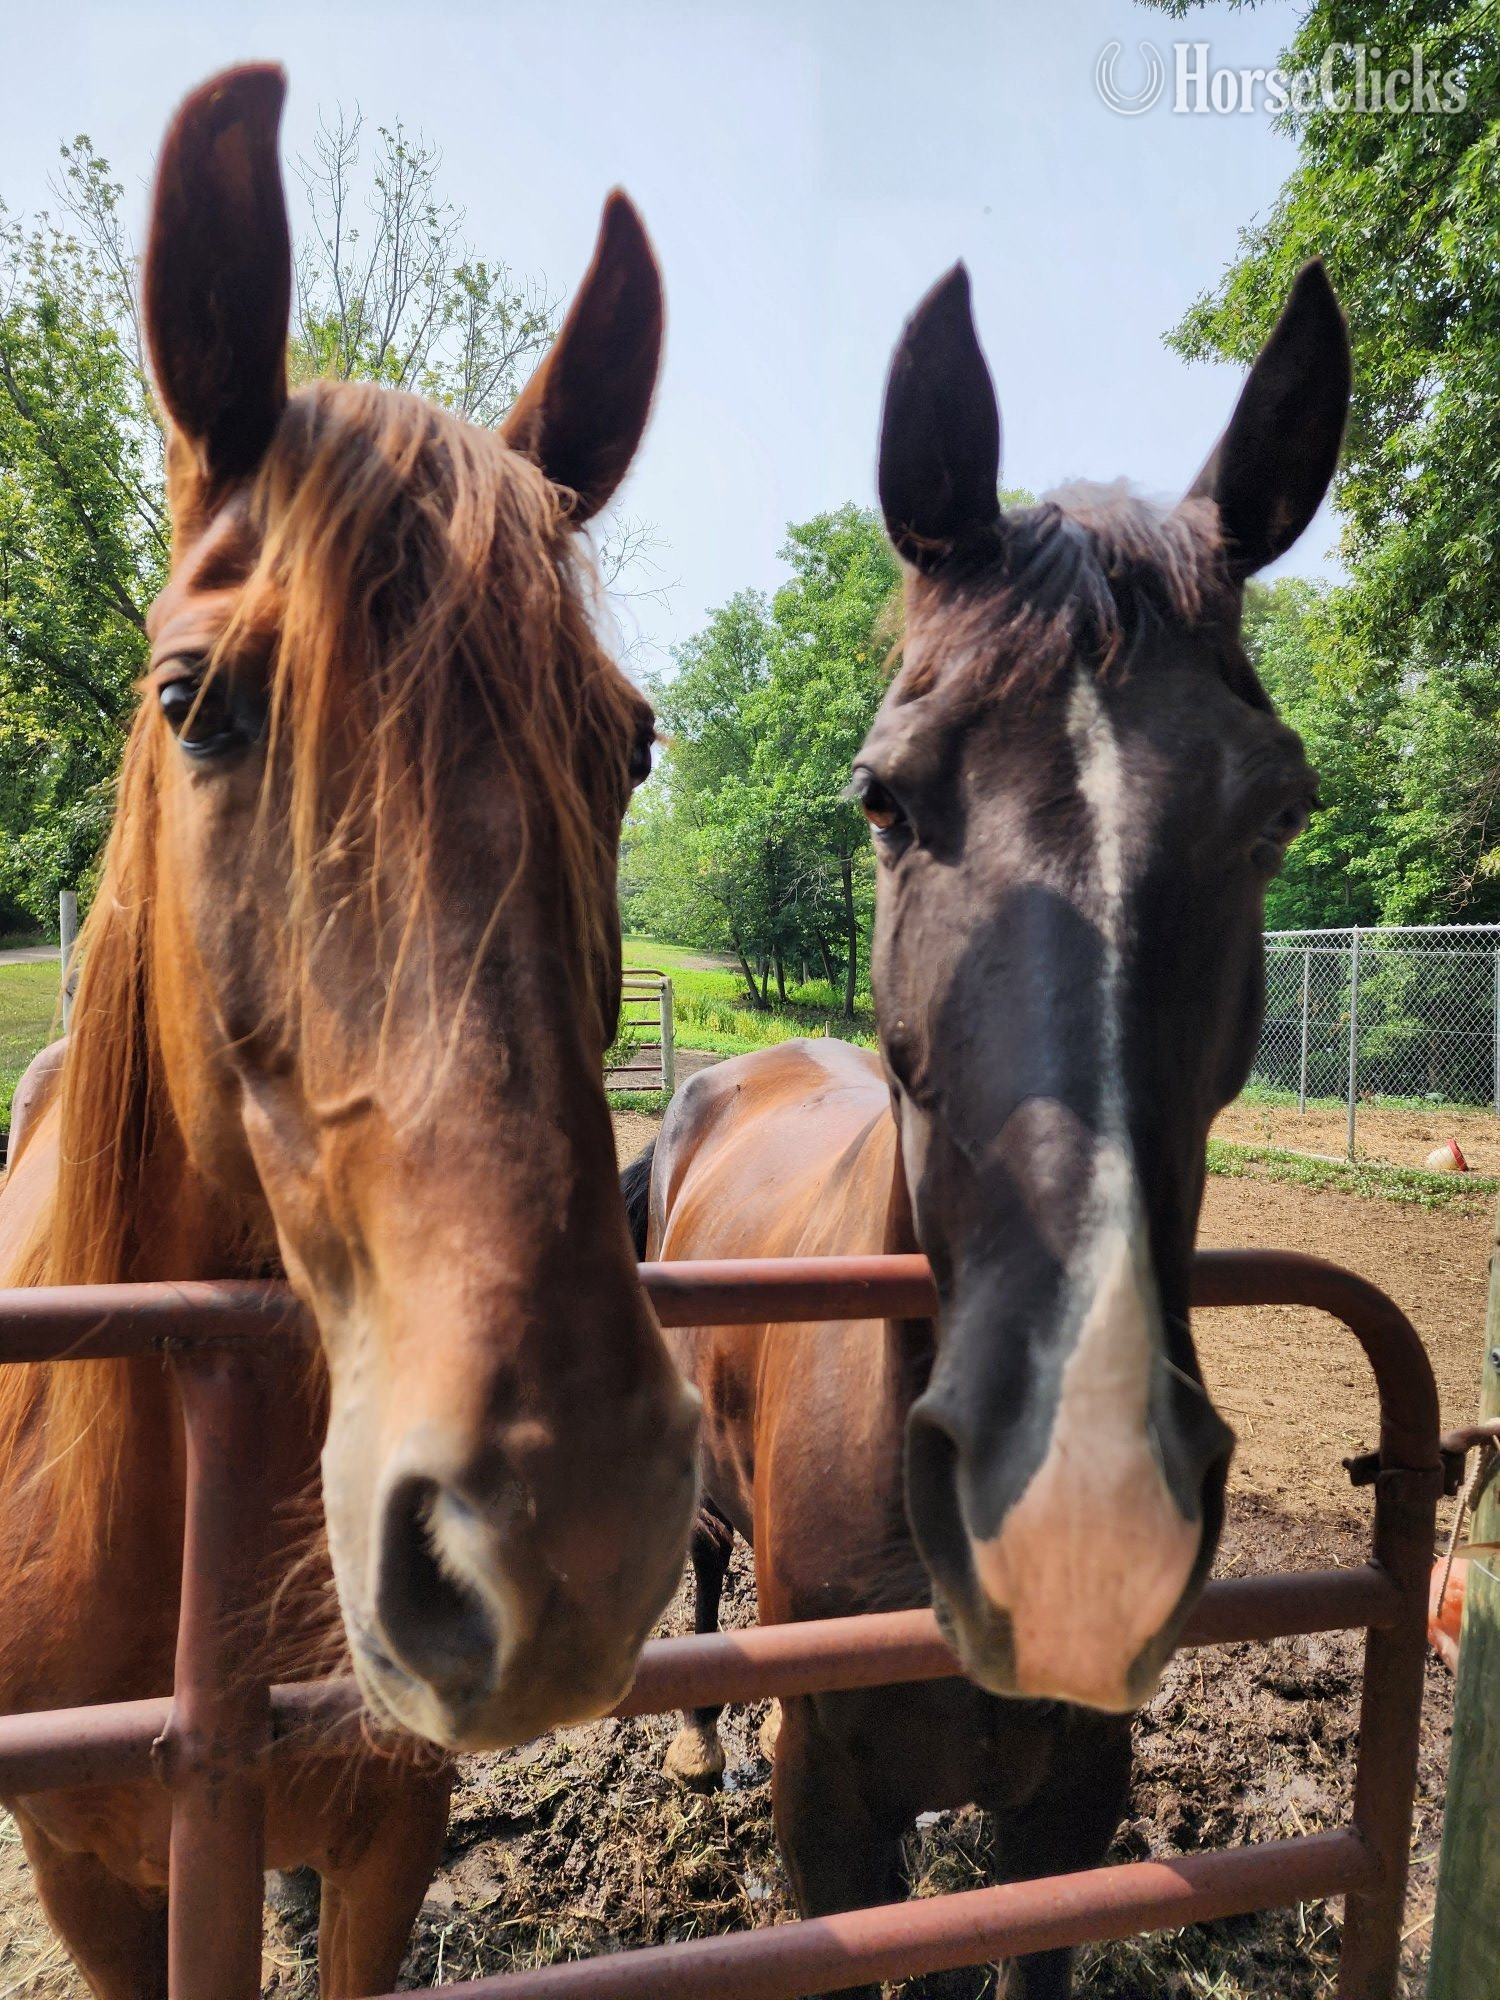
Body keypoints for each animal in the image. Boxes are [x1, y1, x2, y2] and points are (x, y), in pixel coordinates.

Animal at [636, 259, 1349, 1997]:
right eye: (883, 798)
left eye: (1281, 808)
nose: (1075, 1499)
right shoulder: (828, 1813)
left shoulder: (1067, 1811)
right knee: (699, 1560)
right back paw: (686, 1738)